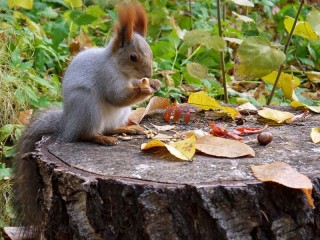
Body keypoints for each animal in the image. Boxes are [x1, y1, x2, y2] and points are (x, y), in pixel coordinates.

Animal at [13, 1, 161, 237]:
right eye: (133, 57)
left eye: (150, 52)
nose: (148, 73)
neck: (121, 71)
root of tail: (67, 124)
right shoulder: (106, 77)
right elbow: (116, 96)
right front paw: (144, 88)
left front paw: (154, 83)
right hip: (87, 106)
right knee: (86, 134)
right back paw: (100, 138)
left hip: (119, 114)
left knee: (109, 127)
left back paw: (125, 130)